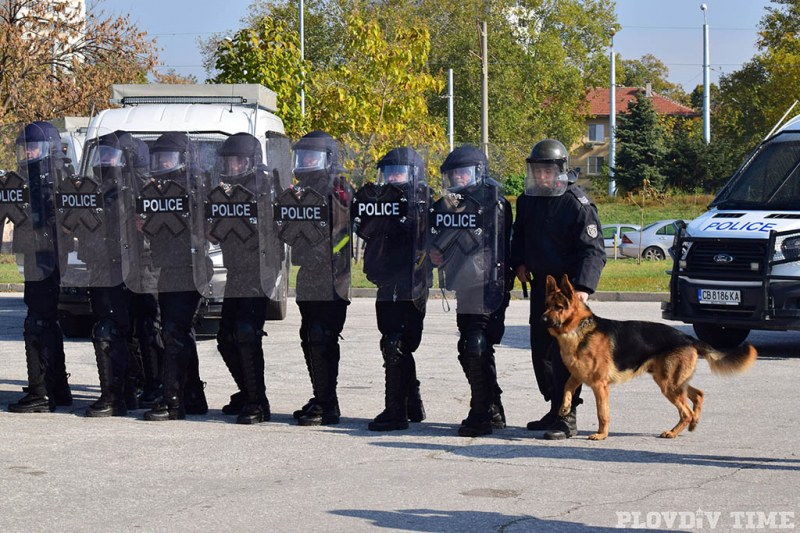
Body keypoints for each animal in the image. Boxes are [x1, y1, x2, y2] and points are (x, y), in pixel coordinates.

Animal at [544, 274, 756, 440]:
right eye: (547, 305)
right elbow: (566, 388)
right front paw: (564, 408)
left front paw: (601, 434)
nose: (542, 319)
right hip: (673, 381)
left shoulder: (599, 385)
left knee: (686, 411)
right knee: (698, 395)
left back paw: (673, 432)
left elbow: (602, 412)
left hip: (668, 384)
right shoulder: (577, 375)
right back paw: (693, 424)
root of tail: (688, 338)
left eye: (558, 307)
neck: (579, 329)